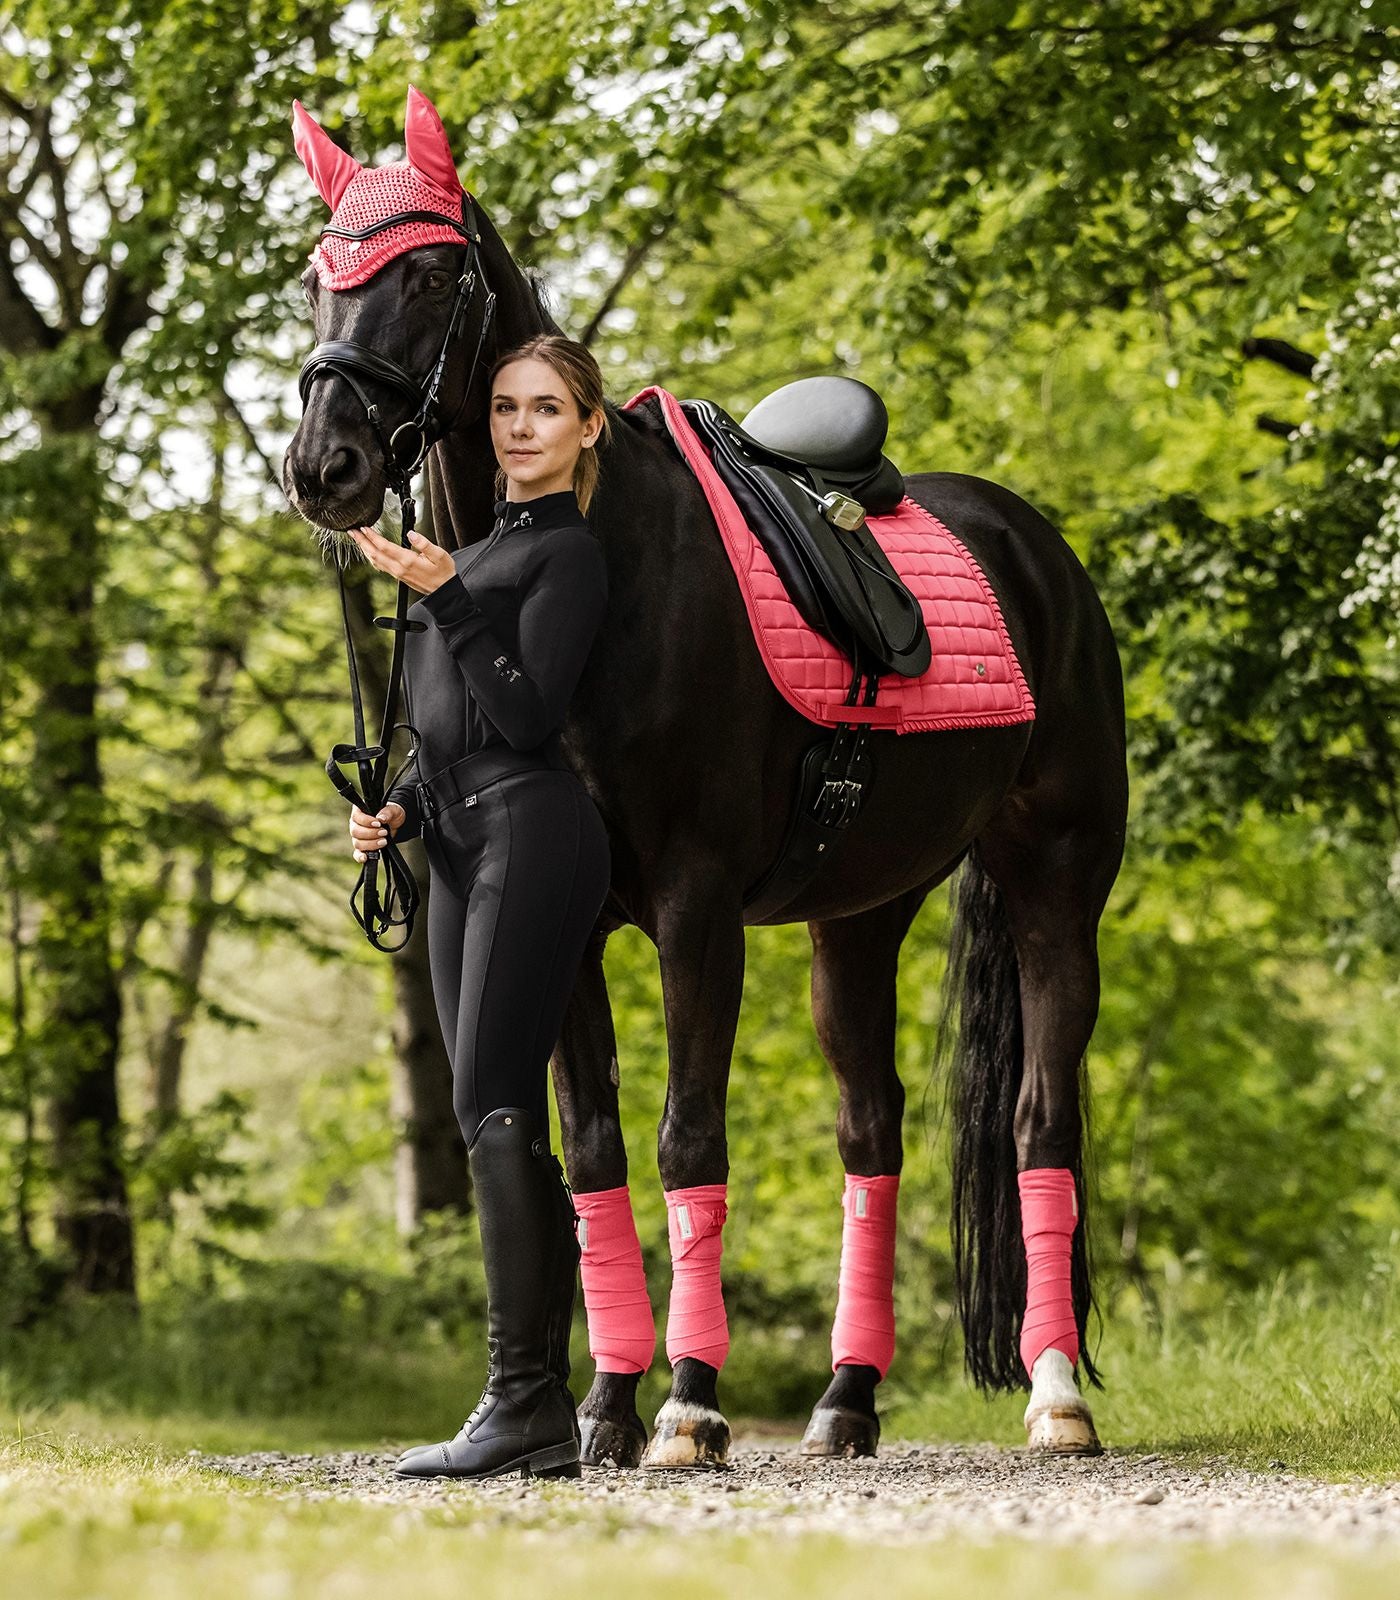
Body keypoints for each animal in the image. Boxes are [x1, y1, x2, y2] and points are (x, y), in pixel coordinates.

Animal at [281, 84, 1126, 1465]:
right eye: (318, 278)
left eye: (429, 273)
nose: (325, 466)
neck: (600, 567)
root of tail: (1032, 544)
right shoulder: (565, 926)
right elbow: (591, 1152)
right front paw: (603, 1408)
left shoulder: (692, 909)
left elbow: (688, 1140)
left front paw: (684, 1400)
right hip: (858, 919)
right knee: (870, 1126)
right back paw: (844, 1400)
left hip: (1055, 886)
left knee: (1038, 1121)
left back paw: (1054, 1394)